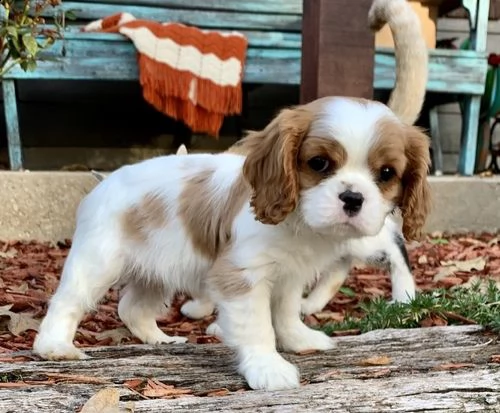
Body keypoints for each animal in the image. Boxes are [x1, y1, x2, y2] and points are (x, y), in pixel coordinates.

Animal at [33, 0, 430, 390]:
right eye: (319, 163)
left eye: (386, 174)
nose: (353, 198)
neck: (299, 224)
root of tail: (103, 181)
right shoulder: (243, 275)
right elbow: (257, 326)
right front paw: (268, 368)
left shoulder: (289, 277)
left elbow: (285, 313)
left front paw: (298, 340)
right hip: (98, 261)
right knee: (68, 300)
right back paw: (54, 347)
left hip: (156, 270)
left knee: (132, 307)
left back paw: (159, 339)